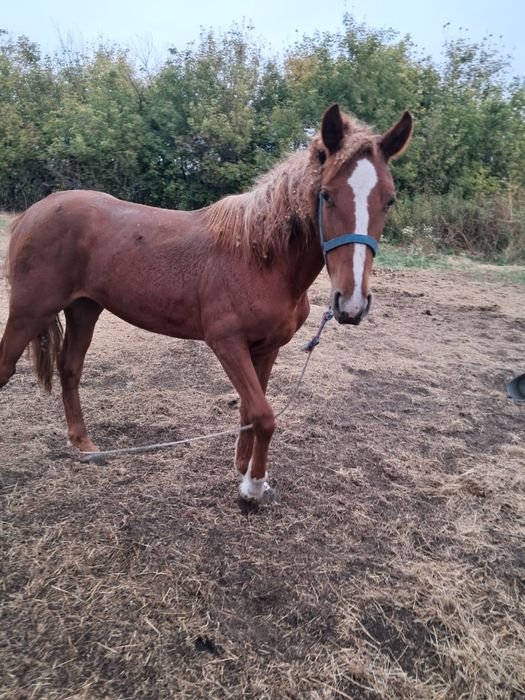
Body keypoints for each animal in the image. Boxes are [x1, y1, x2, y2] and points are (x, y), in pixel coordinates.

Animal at [0, 104, 413, 503]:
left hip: (84, 309)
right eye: (326, 195)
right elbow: (263, 414)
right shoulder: (226, 342)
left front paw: (245, 470)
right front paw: (252, 488)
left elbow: (250, 409)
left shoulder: (267, 347)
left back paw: (84, 445)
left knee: (70, 370)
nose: (351, 303)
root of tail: (30, 215)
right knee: (7, 368)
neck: (258, 257)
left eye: (389, 200)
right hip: (29, 311)